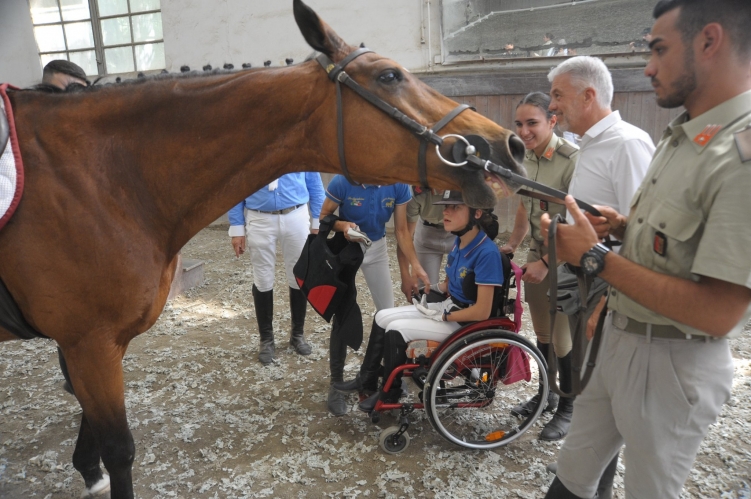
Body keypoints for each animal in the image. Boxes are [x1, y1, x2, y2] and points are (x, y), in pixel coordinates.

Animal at [0, 1, 524, 498]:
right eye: (389, 75)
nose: (508, 145)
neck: (106, 178)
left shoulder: (98, 340)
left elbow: (91, 420)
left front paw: (87, 471)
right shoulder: (89, 340)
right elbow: (117, 447)